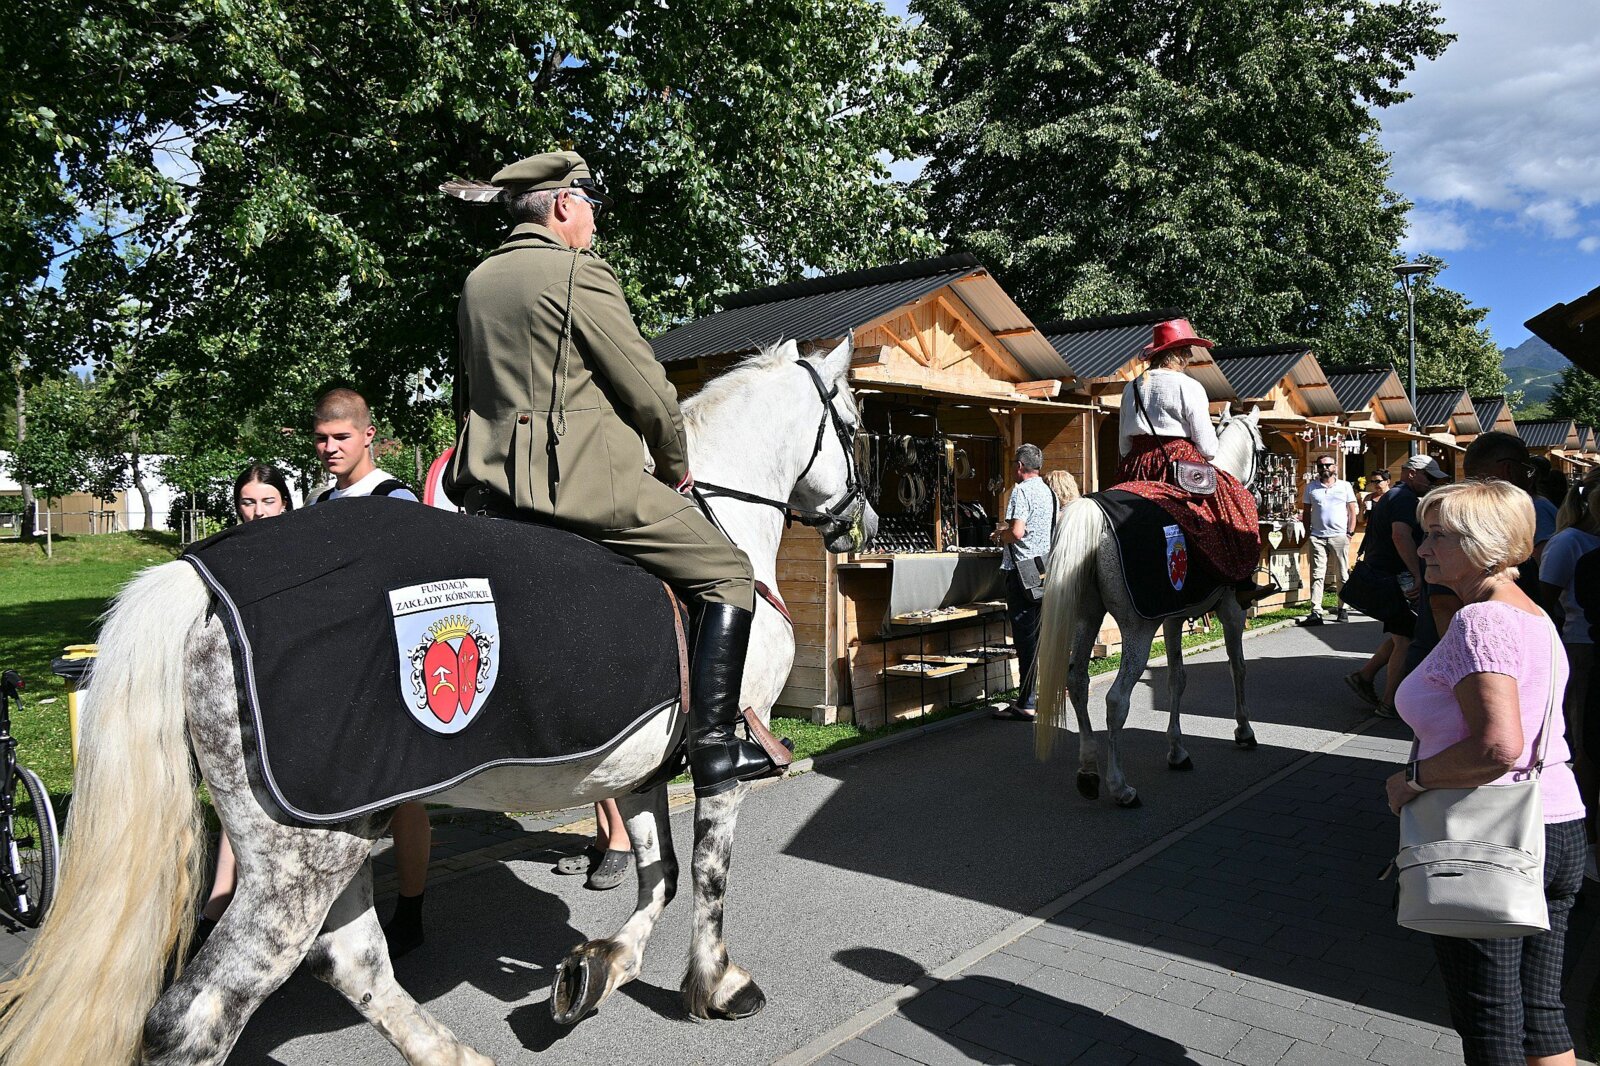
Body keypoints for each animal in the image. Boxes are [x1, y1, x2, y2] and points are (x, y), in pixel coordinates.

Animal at [0, 337, 876, 1065]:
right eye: (858, 423)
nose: (861, 522)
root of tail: (199, 579)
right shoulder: (719, 749)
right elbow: (708, 873)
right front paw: (718, 984)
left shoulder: (637, 766)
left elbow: (655, 877)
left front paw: (594, 971)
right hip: (299, 856)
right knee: (199, 1014)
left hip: (336, 833)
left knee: (350, 960)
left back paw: (455, 1056)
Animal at [1034, 408, 1265, 809]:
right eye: (1263, 449)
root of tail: (1094, 513)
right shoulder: (1230, 610)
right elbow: (1238, 667)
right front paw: (1244, 730)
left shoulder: (1171, 618)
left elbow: (1177, 679)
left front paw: (1177, 750)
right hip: (1136, 630)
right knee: (1115, 700)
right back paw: (1120, 787)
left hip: (1087, 618)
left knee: (1077, 682)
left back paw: (1088, 771)